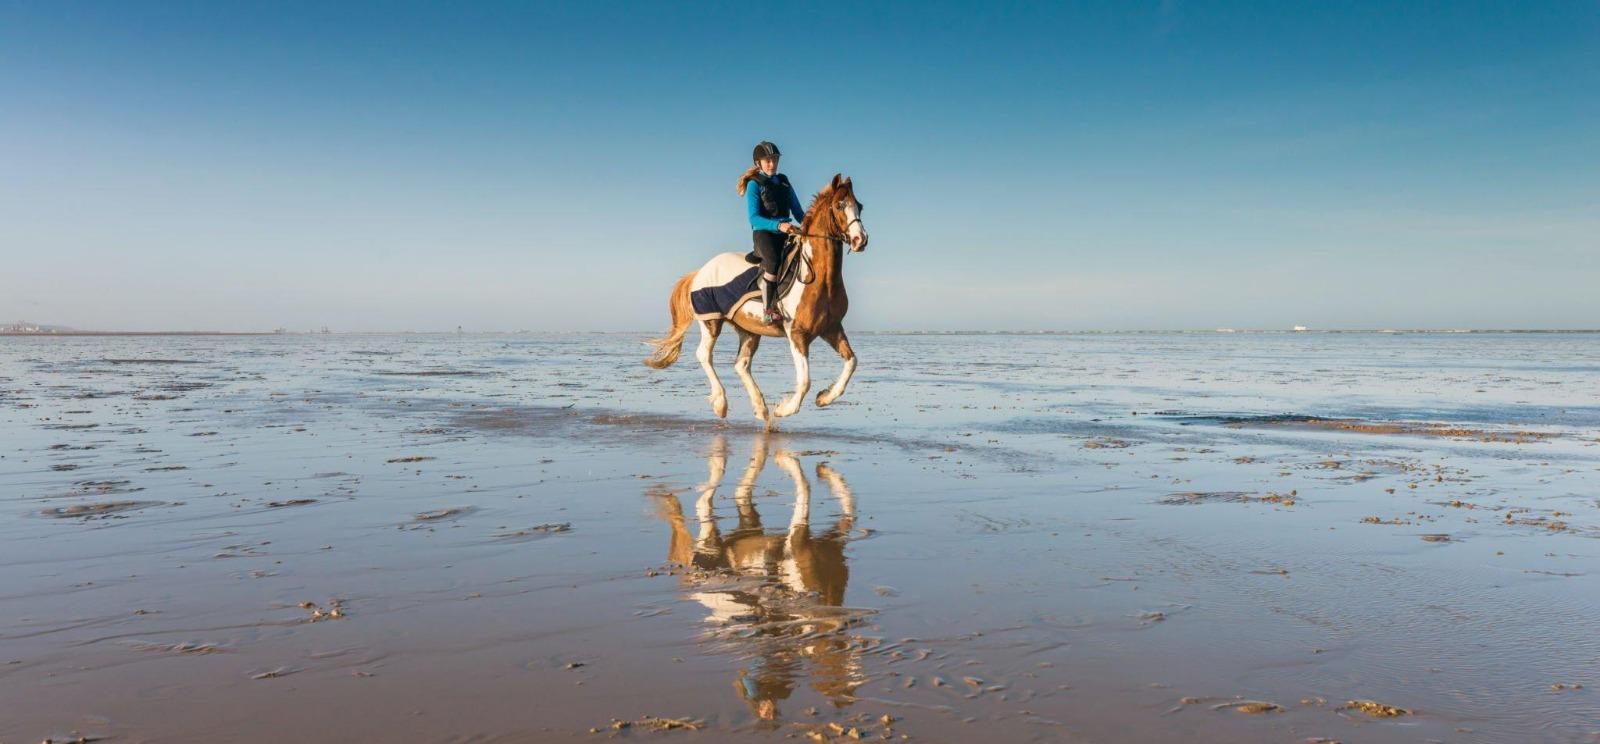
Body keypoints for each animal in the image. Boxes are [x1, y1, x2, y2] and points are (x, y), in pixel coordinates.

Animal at [644, 174, 868, 423]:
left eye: (859, 206)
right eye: (839, 205)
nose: (860, 240)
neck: (819, 277)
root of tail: (700, 271)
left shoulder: (831, 328)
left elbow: (852, 362)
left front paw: (824, 397)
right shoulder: (797, 334)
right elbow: (805, 381)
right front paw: (784, 409)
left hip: (749, 330)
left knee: (741, 364)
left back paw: (760, 408)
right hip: (711, 322)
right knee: (704, 355)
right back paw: (721, 403)